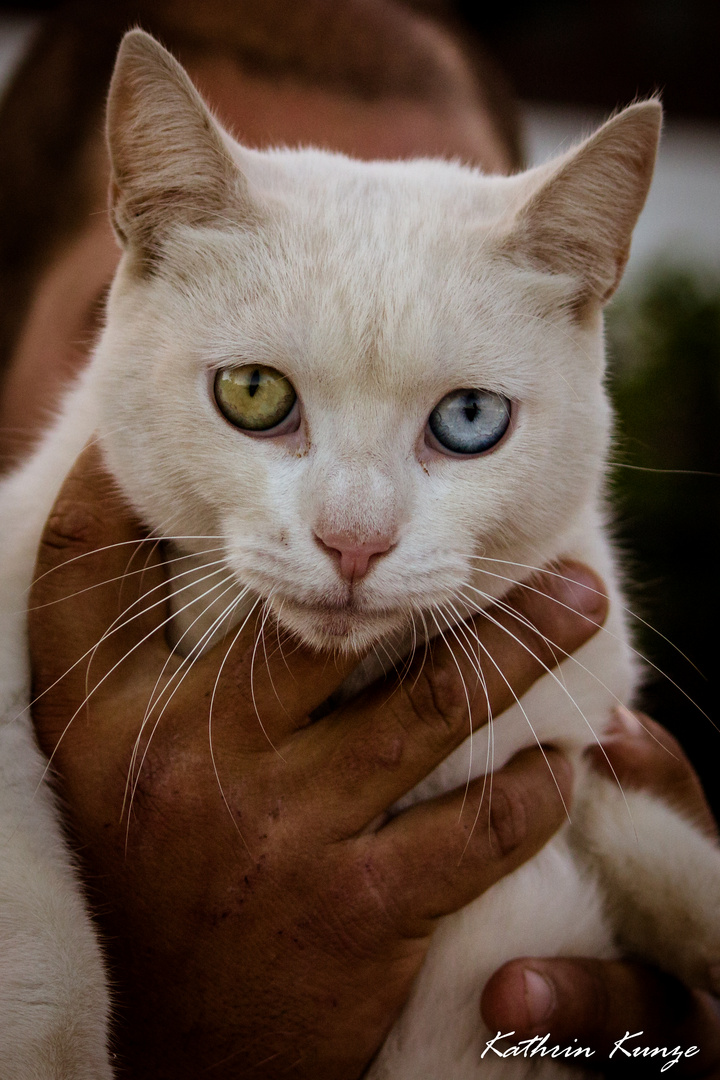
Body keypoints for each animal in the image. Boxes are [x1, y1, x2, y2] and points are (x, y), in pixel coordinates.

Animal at [1, 27, 720, 1080]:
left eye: (471, 419)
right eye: (253, 393)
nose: (355, 540)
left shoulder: (573, 741)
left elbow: (653, 849)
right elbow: (39, 932)